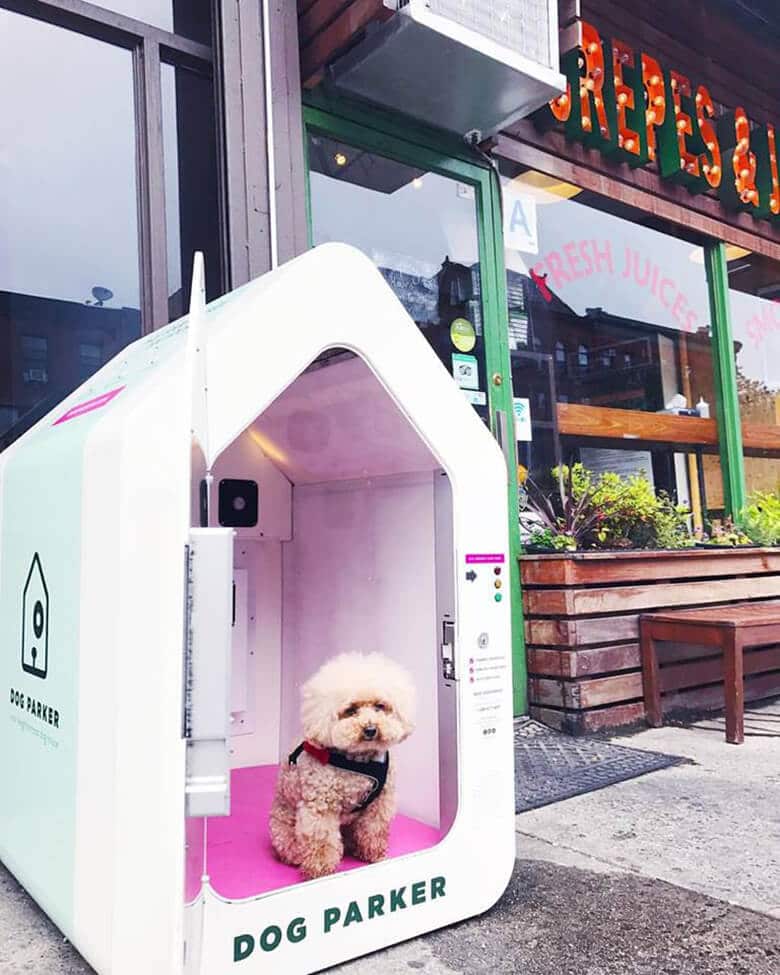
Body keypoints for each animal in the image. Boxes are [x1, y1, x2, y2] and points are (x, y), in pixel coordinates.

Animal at [268, 652, 414, 880]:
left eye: (380, 706)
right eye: (351, 710)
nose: (370, 729)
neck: (360, 761)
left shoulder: (379, 803)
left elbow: (374, 830)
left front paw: (374, 854)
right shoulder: (320, 808)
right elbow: (322, 841)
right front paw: (321, 869)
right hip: (282, 829)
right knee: (291, 848)